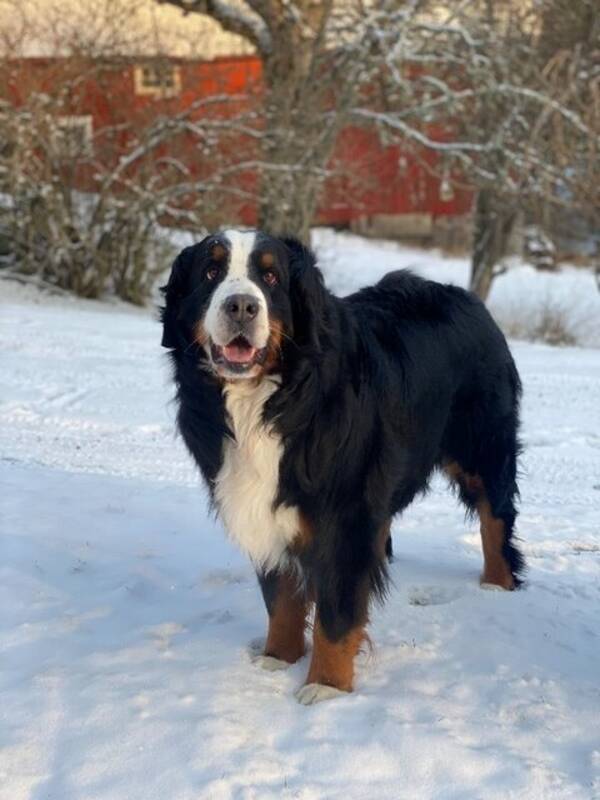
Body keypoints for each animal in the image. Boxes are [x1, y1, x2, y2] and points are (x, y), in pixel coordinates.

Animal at [161, 228, 524, 704]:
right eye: (210, 271)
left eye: (271, 277)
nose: (241, 305)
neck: (269, 398)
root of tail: (466, 297)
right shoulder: (268, 509)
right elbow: (282, 596)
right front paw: (278, 659)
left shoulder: (344, 514)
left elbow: (337, 608)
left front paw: (325, 686)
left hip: (481, 447)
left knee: (495, 516)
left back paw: (498, 585)